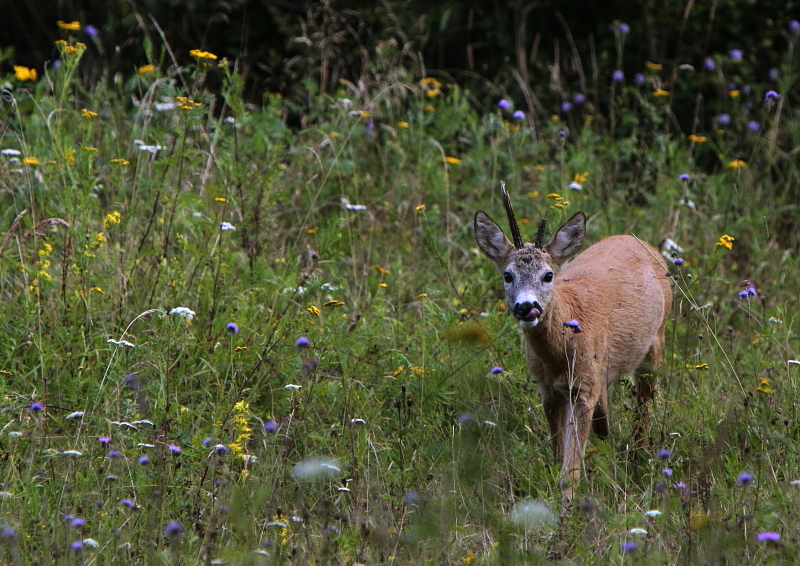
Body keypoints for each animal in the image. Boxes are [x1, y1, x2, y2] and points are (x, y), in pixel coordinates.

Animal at [478, 184, 672, 504]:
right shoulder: (548, 390)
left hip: (656, 341)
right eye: (507, 275)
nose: (526, 307)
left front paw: (566, 509)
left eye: (548, 275)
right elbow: (558, 457)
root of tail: (640, 242)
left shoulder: (583, 390)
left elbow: (569, 471)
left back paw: (638, 463)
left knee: (644, 405)